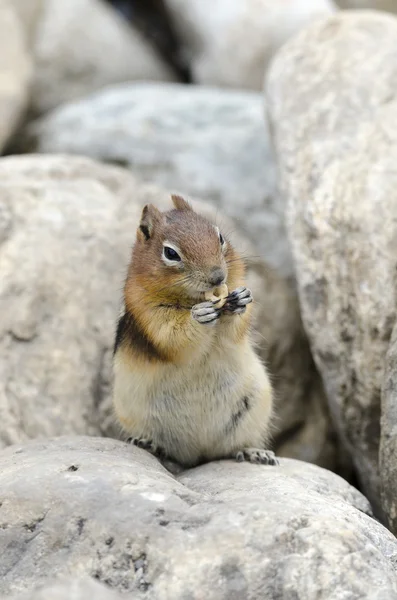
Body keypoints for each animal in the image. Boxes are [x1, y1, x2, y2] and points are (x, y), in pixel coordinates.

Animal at [113, 197, 276, 468]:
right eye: (170, 253)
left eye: (220, 237)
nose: (218, 277)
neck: (193, 299)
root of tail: (198, 454)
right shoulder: (149, 314)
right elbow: (172, 336)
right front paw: (199, 317)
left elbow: (235, 329)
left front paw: (241, 300)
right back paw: (148, 443)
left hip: (253, 408)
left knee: (233, 447)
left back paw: (254, 453)